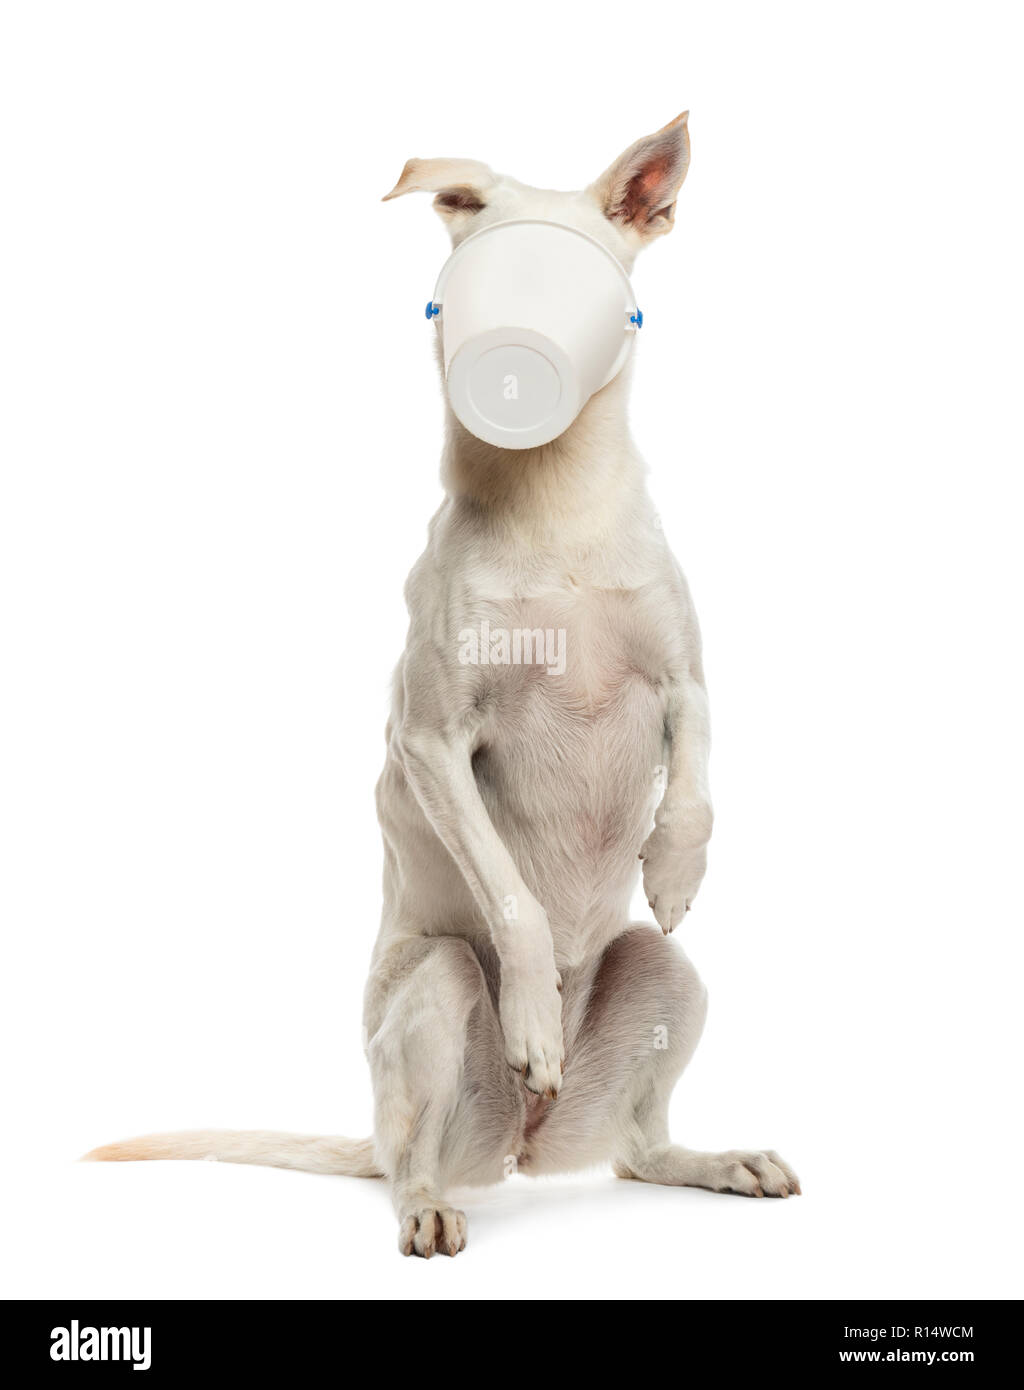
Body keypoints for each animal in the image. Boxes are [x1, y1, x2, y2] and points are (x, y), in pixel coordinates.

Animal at [85, 113, 800, 1256]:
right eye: (468, 280)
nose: (510, 360)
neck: (553, 502)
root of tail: (524, 1146)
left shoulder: (685, 677)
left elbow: (694, 788)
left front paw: (676, 868)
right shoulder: (432, 739)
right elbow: (513, 903)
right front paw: (536, 1020)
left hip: (668, 978)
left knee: (638, 1148)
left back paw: (715, 1159)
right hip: (433, 991)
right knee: (414, 1153)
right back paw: (431, 1198)